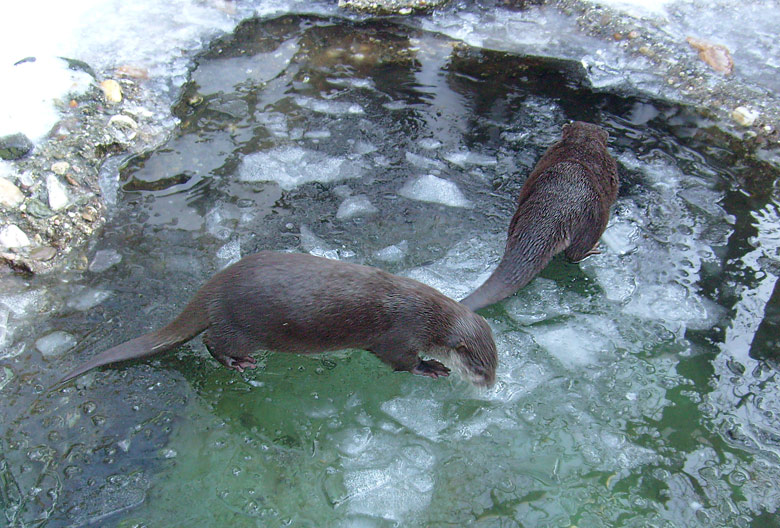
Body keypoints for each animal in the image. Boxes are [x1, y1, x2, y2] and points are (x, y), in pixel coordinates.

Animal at [61, 250, 500, 386]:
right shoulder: (400, 335)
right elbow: (399, 361)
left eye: (495, 363)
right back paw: (238, 363)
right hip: (241, 327)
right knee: (212, 342)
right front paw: (431, 367)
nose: (491, 385)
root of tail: (215, 285)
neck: (426, 315)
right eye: (479, 367)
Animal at [460, 121, 620, 312]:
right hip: (595, 219)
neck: (583, 144)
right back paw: (591, 249)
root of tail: (559, 207)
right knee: (575, 253)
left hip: (519, 213)